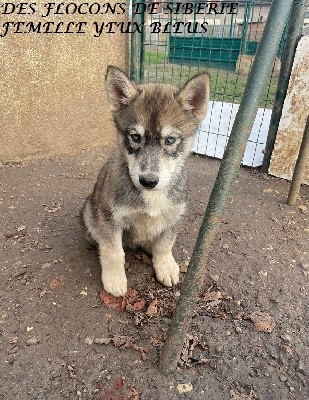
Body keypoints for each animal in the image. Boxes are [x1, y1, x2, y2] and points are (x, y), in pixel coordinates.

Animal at [80, 66, 209, 296]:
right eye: (135, 137)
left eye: (170, 140)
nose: (148, 181)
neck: (152, 196)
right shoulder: (109, 218)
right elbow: (114, 252)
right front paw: (114, 279)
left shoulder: (175, 215)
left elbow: (165, 245)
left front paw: (165, 265)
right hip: (90, 210)